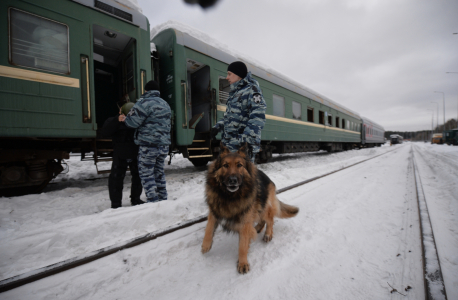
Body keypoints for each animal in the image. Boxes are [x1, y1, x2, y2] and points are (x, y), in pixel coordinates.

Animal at [202, 144, 298, 274]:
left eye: (239, 165)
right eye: (225, 165)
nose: (233, 180)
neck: (230, 196)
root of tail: (268, 178)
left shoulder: (244, 222)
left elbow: (242, 246)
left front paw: (242, 263)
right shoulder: (215, 210)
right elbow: (209, 227)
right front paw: (206, 244)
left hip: (262, 206)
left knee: (270, 218)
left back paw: (268, 234)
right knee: (262, 219)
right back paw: (258, 227)